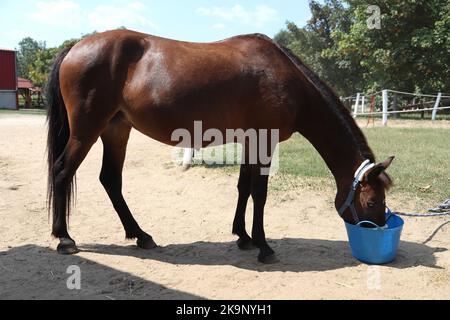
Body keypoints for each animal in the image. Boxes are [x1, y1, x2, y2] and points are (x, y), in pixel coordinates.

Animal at [46, 29, 394, 262]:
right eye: (372, 202)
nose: (378, 230)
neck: (285, 78)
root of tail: (75, 47)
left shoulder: (251, 141)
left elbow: (243, 188)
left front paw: (243, 236)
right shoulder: (265, 141)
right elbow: (259, 193)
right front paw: (264, 246)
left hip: (116, 130)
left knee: (110, 180)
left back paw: (141, 236)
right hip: (87, 131)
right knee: (62, 171)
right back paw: (64, 238)